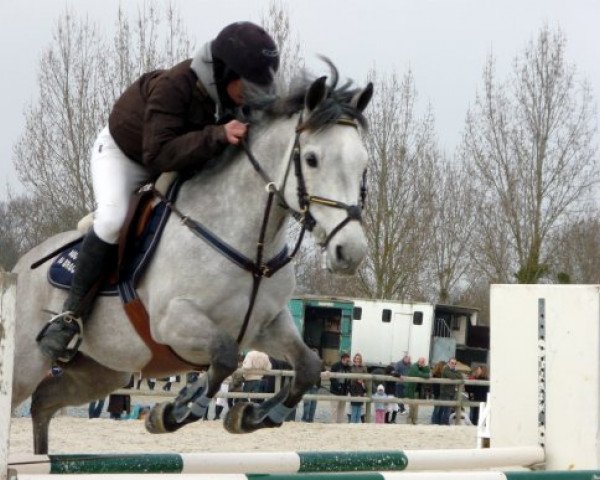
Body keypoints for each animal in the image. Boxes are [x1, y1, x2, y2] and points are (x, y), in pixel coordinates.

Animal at [11, 67, 372, 454]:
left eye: (363, 163)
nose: (350, 252)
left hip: (103, 370)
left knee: (44, 402)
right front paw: (174, 411)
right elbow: (226, 357)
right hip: (28, 362)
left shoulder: (267, 324)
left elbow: (307, 365)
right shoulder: (173, 322)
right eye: (312, 159)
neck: (249, 248)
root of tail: (19, 266)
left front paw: (252, 416)